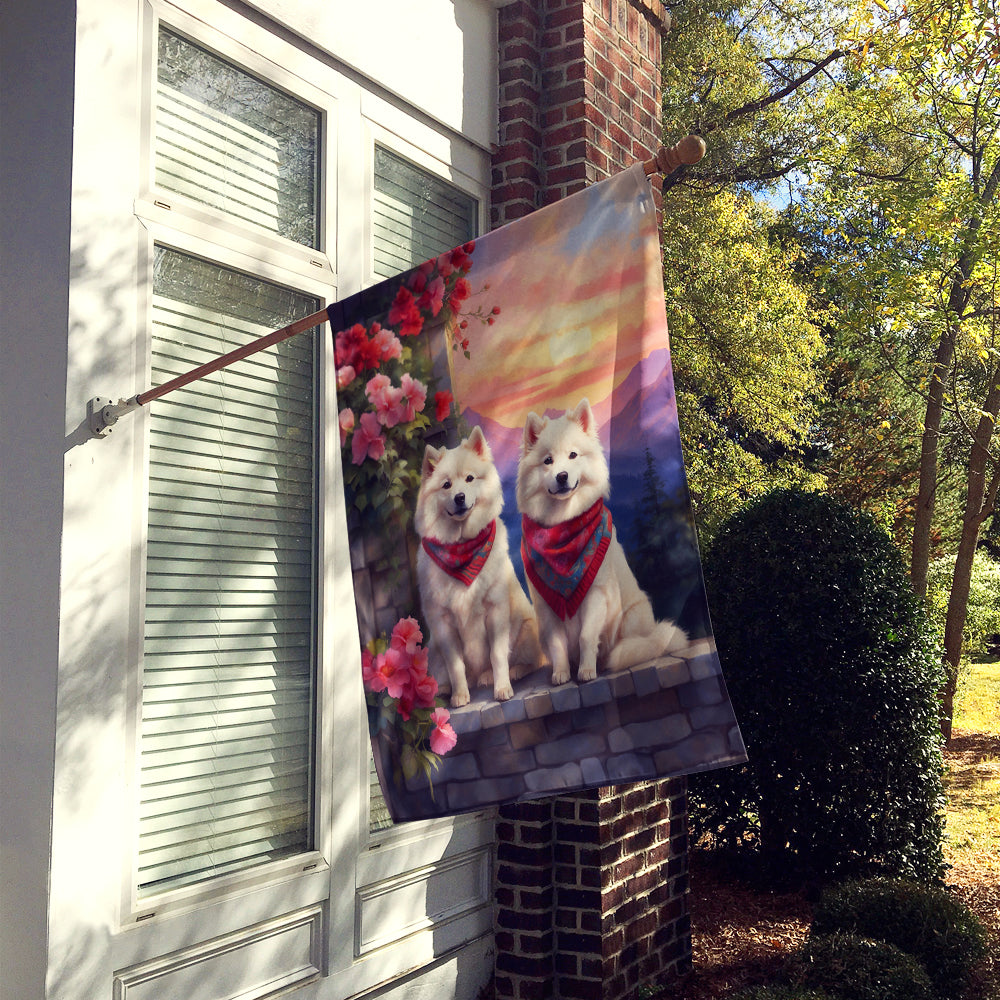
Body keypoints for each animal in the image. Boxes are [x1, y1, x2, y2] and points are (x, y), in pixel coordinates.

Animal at [414, 426, 544, 708]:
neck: (462, 546)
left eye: (470, 479)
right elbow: (456, 666)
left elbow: (497, 655)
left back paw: (511, 673)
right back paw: (446, 688)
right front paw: (460, 696)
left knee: (533, 661)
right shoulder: (444, 625)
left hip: (528, 628)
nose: (460, 497)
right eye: (446, 485)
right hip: (434, 648)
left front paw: (502, 688)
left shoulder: (495, 612)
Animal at [516, 398, 688, 688]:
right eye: (547, 461)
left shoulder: (596, 595)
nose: (562, 476)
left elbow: (586, 636)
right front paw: (561, 674)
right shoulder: (547, 608)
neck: (564, 525)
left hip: (631, 617)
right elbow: (558, 646)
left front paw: (587, 671)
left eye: (573, 455)